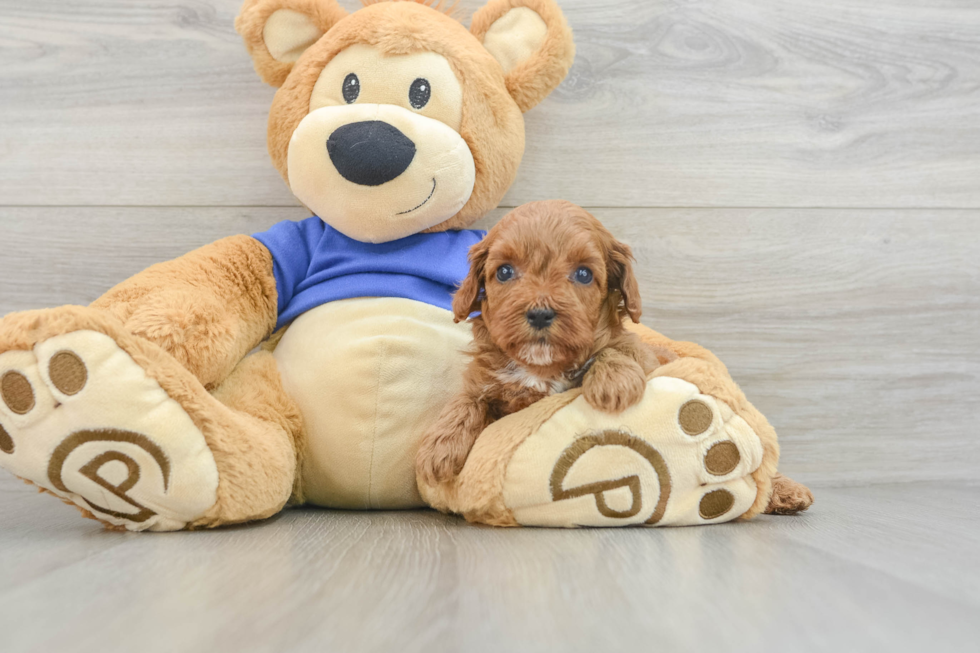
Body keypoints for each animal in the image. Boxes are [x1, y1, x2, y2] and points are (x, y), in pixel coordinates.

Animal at [418, 200, 676, 484]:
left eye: (584, 274)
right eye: (505, 271)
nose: (540, 314)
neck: (540, 366)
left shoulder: (639, 353)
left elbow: (616, 347)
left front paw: (615, 380)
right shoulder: (482, 379)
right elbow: (465, 401)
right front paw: (438, 448)